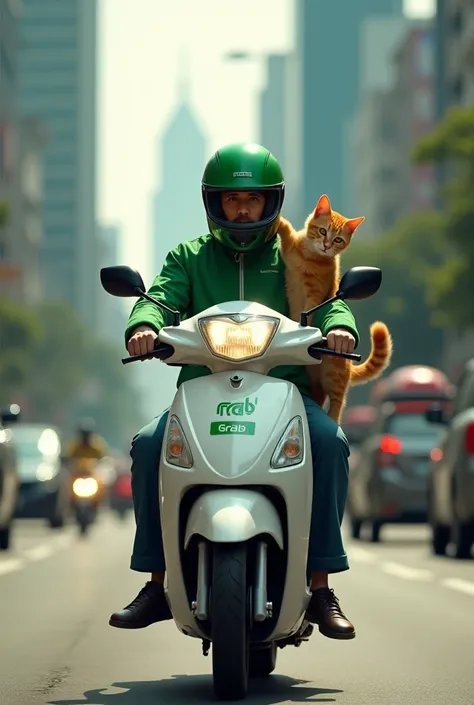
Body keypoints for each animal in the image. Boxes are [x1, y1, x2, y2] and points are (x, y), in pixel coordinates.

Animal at [278, 192, 392, 424]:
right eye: (323, 231)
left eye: (338, 239)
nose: (326, 245)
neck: (310, 257)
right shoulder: (290, 252)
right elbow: (286, 228)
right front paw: (275, 222)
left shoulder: (316, 295)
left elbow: (308, 312)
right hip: (316, 384)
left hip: (334, 372)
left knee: (338, 402)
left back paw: (333, 417)